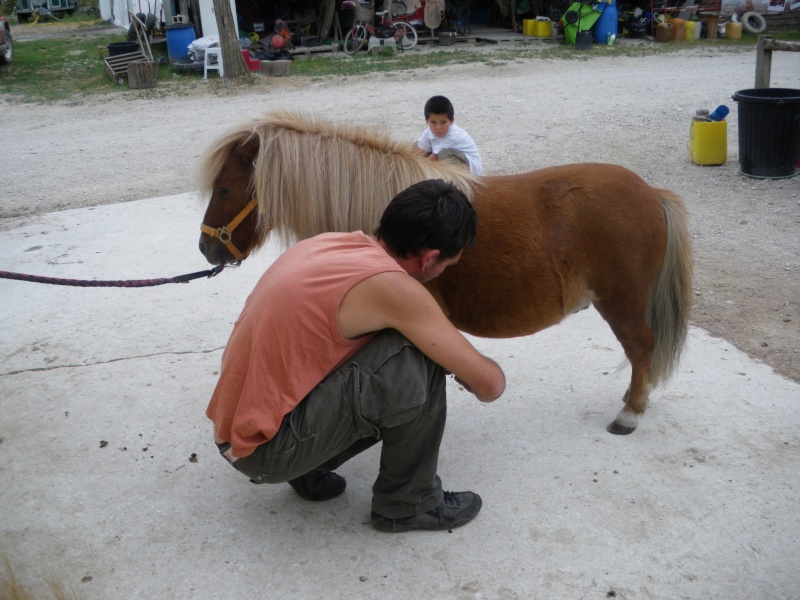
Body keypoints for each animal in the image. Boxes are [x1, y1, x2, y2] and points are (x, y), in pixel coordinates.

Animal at [197, 110, 692, 434]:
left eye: (224, 189)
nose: (205, 248)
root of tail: (652, 193)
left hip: (622, 303)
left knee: (641, 348)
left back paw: (630, 414)